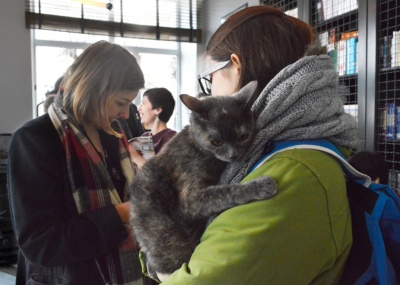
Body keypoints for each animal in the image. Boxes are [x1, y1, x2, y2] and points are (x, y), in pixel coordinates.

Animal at [130, 81, 276, 278]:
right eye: (216, 141)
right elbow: (227, 190)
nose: (234, 155)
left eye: (243, 136)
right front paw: (261, 185)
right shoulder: (190, 198)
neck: (197, 146)